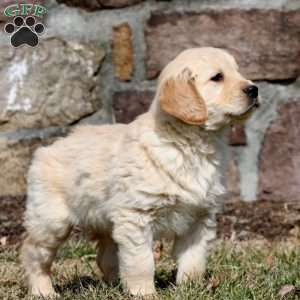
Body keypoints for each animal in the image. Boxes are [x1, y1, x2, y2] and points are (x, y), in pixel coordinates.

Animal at [22, 47, 258, 298]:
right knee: (34, 253)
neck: (189, 144)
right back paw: (43, 290)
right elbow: (141, 261)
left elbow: (194, 259)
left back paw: (115, 285)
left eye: (237, 71)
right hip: (51, 220)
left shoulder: (200, 218)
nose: (254, 89)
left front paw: (190, 288)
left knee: (105, 257)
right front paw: (144, 293)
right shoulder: (136, 216)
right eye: (217, 77)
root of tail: (47, 148)